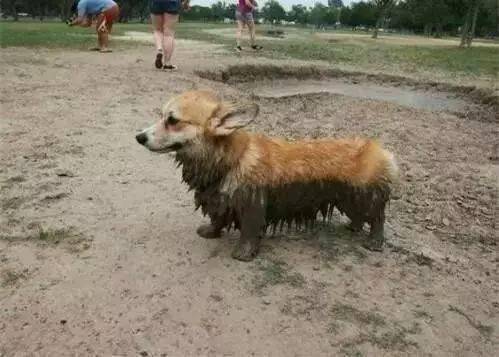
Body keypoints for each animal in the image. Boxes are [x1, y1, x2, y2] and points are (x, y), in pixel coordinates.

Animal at [136, 90, 398, 260]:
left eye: (172, 120)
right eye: (162, 115)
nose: (139, 137)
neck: (229, 159)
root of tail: (381, 151)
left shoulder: (252, 205)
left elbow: (249, 232)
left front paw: (243, 254)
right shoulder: (219, 200)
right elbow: (217, 219)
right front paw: (210, 232)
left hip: (363, 196)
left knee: (377, 218)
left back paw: (374, 242)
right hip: (349, 199)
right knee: (360, 217)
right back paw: (353, 228)